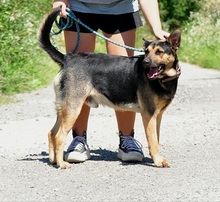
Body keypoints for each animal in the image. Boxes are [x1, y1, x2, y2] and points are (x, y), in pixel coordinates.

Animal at [38, 8, 182, 169]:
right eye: (146, 52)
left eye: (159, 52)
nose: (145, 62)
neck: (163, 79)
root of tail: (67, 59)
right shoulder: (149, 115)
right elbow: (153, 141)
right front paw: (158, 161)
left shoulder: (158, 116)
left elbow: (156, 138)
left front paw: (156, 158)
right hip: (73, 108)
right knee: (58, 136)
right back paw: (62, 163)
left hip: (64, 109)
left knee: (51, 133)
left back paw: (53, 160)